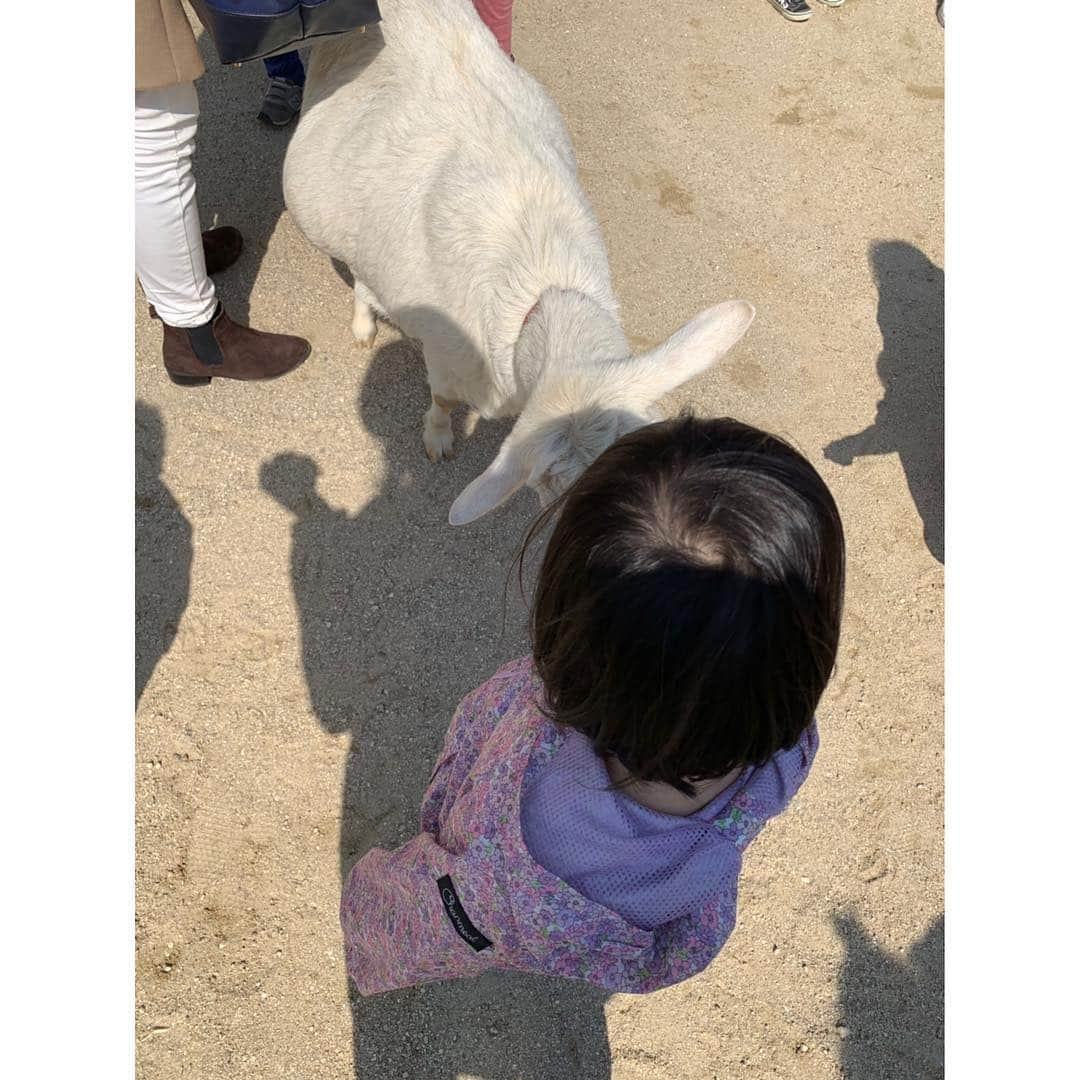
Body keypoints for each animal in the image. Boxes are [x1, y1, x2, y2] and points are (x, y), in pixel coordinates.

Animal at [282, 0, 756, 522]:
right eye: (561, 490)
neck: (543, 287)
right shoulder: (447, 355)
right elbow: (443, 400)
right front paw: (438, 438)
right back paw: (365, 324)